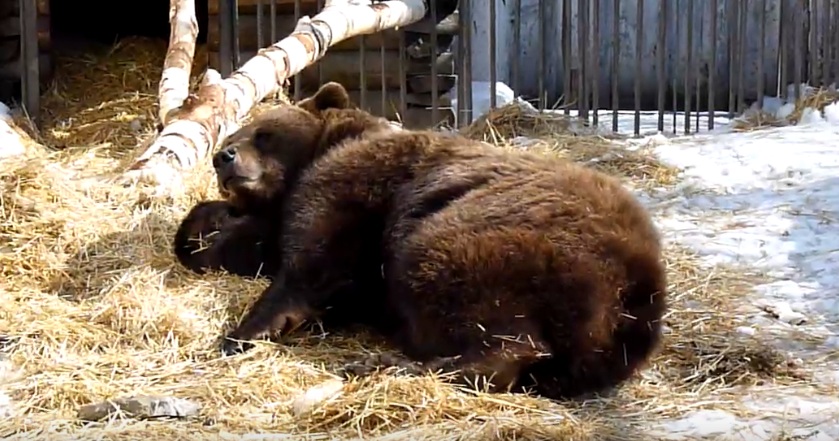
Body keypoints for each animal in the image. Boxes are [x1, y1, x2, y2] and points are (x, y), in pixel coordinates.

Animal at [213, 81, 668, 400]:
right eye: (229, 137)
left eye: (262, 133)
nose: (223, 157)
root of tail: (636, 285)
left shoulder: (355, 185)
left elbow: (312, 261)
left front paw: (242, 332)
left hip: (505, 240)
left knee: (458, 288)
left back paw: (387, 363)